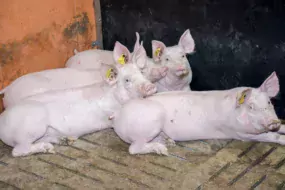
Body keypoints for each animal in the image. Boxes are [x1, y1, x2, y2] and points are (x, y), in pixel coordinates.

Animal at [0, 40, 155, 157]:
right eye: (127, 80)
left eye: (141, 72)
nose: (150, 86)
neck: (114, 94)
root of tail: (2, 119)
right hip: (31, 128)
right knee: (18, 150)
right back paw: (48, 148)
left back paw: (65, 141)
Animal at [112, 72, 282, 155]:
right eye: (251, 107)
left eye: (269, 102)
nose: (273, 121)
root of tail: (118, 114)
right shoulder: (240, 133)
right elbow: (272, 136)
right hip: (151, 122)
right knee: (133, 149)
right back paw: (162, 150)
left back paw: (168, 142)